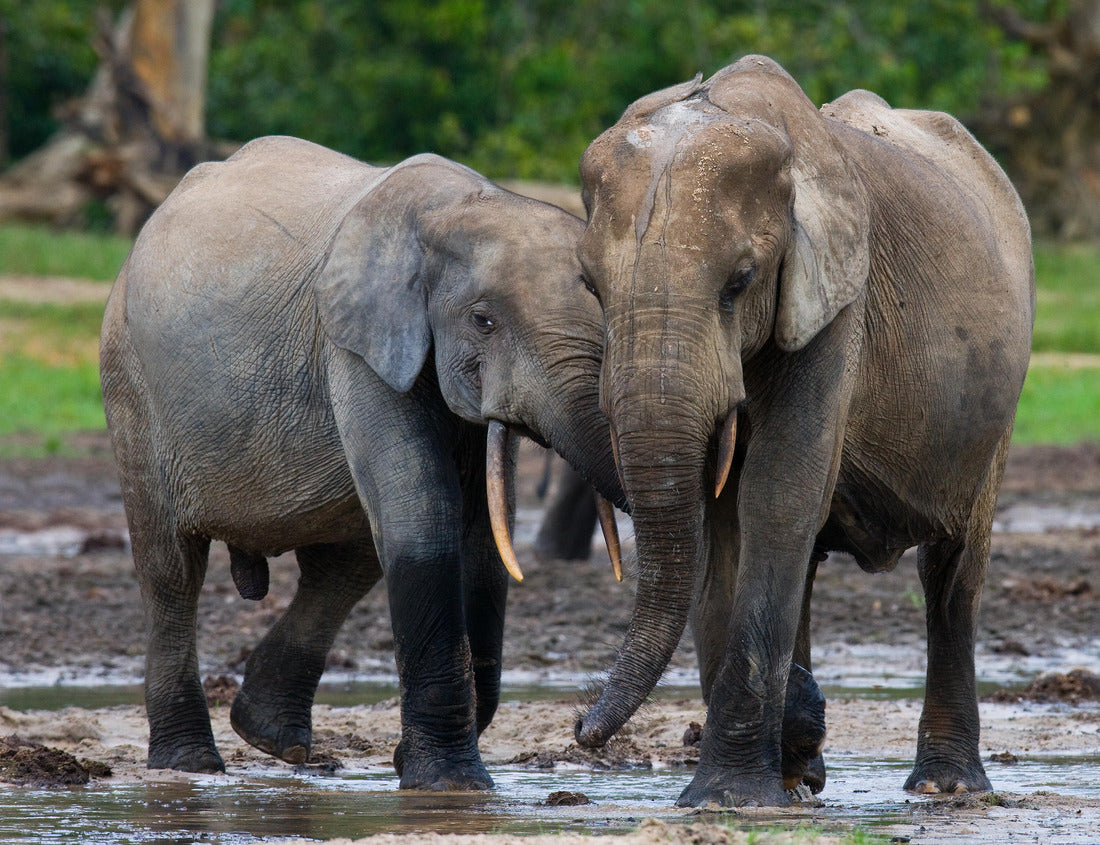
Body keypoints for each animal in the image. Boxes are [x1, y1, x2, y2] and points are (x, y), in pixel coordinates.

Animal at [99, 135, 627, 791]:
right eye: (483, 321)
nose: (583, 728)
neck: (458, 209)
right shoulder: (356, 346)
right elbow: (424, 519)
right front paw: (448, 786)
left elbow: (482, 541)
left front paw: (421, 768)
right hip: (130, 380)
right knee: (172, 571)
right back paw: (189, 764)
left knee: (345, 565)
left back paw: (274, 739)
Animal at [571, 56, 1034, 807]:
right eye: (589, 286)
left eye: (739, 281)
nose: (582, 730)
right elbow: (721, 520)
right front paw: (779, 757)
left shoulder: (837, 299)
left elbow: (776, 490)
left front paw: (730, 794)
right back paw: (805, 766)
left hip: (997, 410)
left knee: (952, 574)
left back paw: (945, 786)